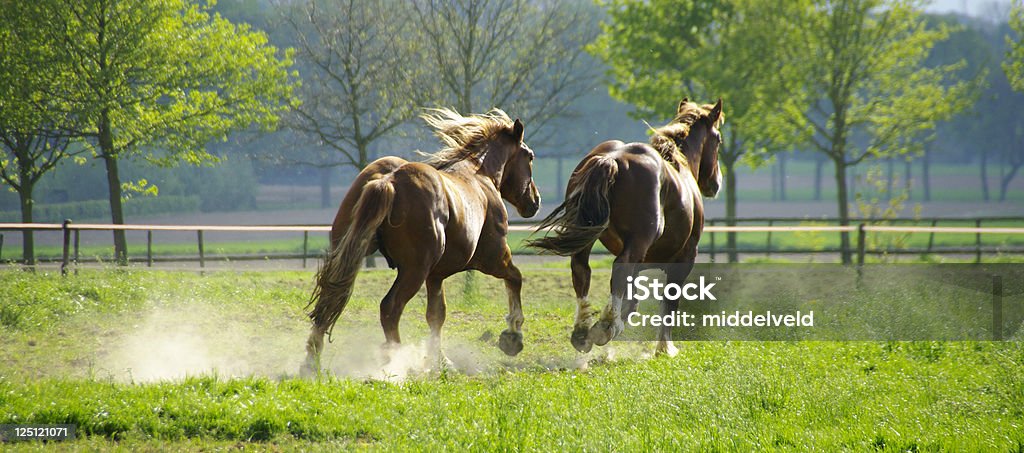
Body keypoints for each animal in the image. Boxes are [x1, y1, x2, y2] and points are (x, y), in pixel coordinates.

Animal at [301, 108, 540, 373]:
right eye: (529, 156)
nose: (535, 201)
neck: (481, 174)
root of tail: (389, 181)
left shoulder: (435, 276)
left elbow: (436, 315)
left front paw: (441, 360)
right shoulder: (493, 259)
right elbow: (515, 278)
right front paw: (513, 336)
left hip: (351, 255)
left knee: (329, 299)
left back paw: (311, 361)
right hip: (413, 271)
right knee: (389, 308)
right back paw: (396, 361)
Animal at [528, 97, 720, 356]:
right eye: (718, 139)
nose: (716, 183)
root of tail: (613, 159)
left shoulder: (639, 262)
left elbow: (632, 298)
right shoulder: (684, 259)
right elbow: (668, 302)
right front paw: (664, 347)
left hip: (588, 236)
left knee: (581, 270)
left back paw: (583, 331)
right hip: (638, 243)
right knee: (619, 268)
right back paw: (606, 327)